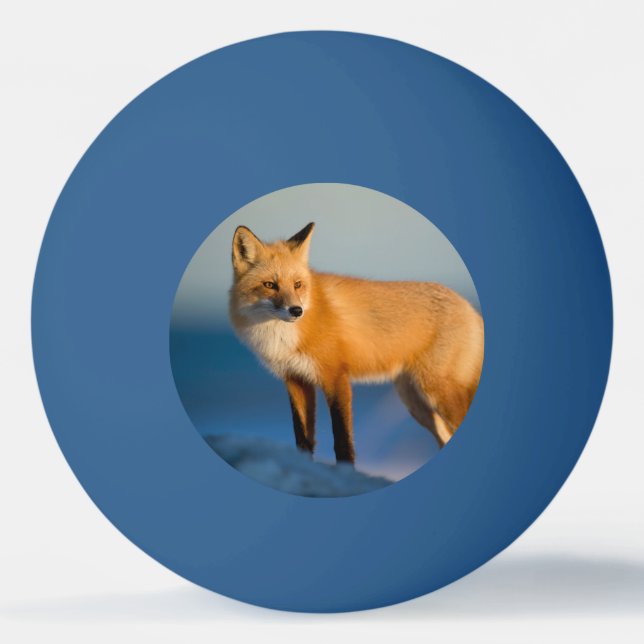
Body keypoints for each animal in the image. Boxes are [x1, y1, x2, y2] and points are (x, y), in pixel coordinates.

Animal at [228, 222, 484, 465]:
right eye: (270, 285)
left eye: (298, 284)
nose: (296, 310)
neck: (282, 336)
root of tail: (470, 308)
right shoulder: (296, 380)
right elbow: (303, 439)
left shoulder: (335, 377)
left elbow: (342, 440)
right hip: (416, 403)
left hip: (437, 393)